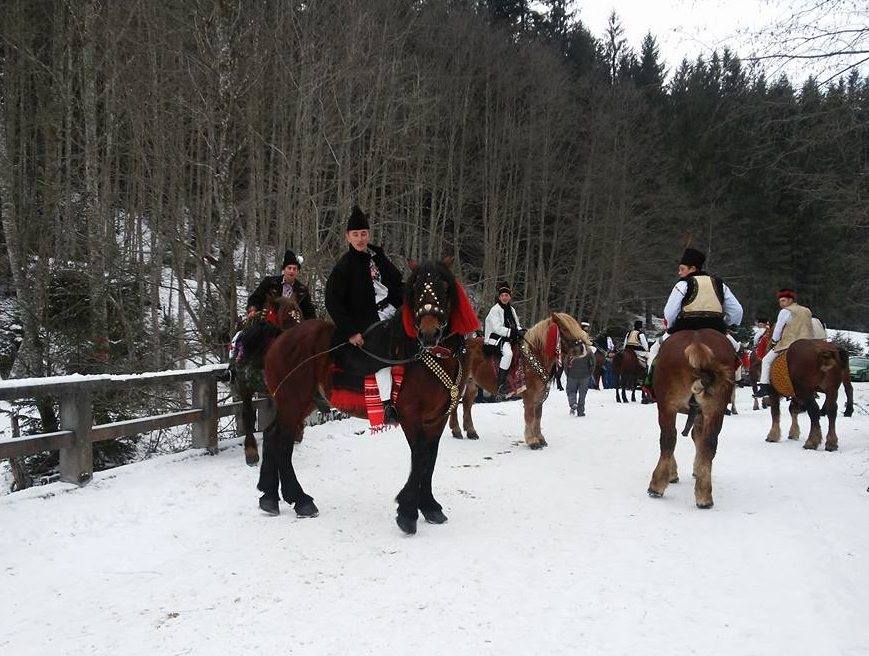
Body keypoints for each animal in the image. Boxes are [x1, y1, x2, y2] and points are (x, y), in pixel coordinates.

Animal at [258, 258, 474, 536]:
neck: (427, 358)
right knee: (282, 442)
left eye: (445, 287)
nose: (429, 332)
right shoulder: (411, 416)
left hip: (299, 404)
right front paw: (407, 511)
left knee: (272, 436)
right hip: (292, 401)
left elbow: (430, 458)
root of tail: (283, 337)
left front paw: (429, 506)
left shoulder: (437, 419)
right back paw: (300, 499)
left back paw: (270, 496)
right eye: (416, 289)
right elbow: (420, 458)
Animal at [450, 314, 588, 452]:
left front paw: (540, 438)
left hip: (472, 384)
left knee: (467, 404)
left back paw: (471, 432)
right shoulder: (529, 396)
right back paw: (456, 430)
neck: (536, 356)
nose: (582, 349)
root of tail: (461, 346)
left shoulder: (539, 396)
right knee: (456, 402)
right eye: (564, 329)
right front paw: (532, 441)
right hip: (461, 382)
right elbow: (530, 416)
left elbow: (538, 417)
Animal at [644, 330, 732, 510]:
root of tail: (697, 343)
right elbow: (698, 438)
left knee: (668, 439)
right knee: (709, 443)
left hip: (667, 407)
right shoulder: (701, 415)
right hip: (715, 410)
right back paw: (704, 495)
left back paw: (656, 485)